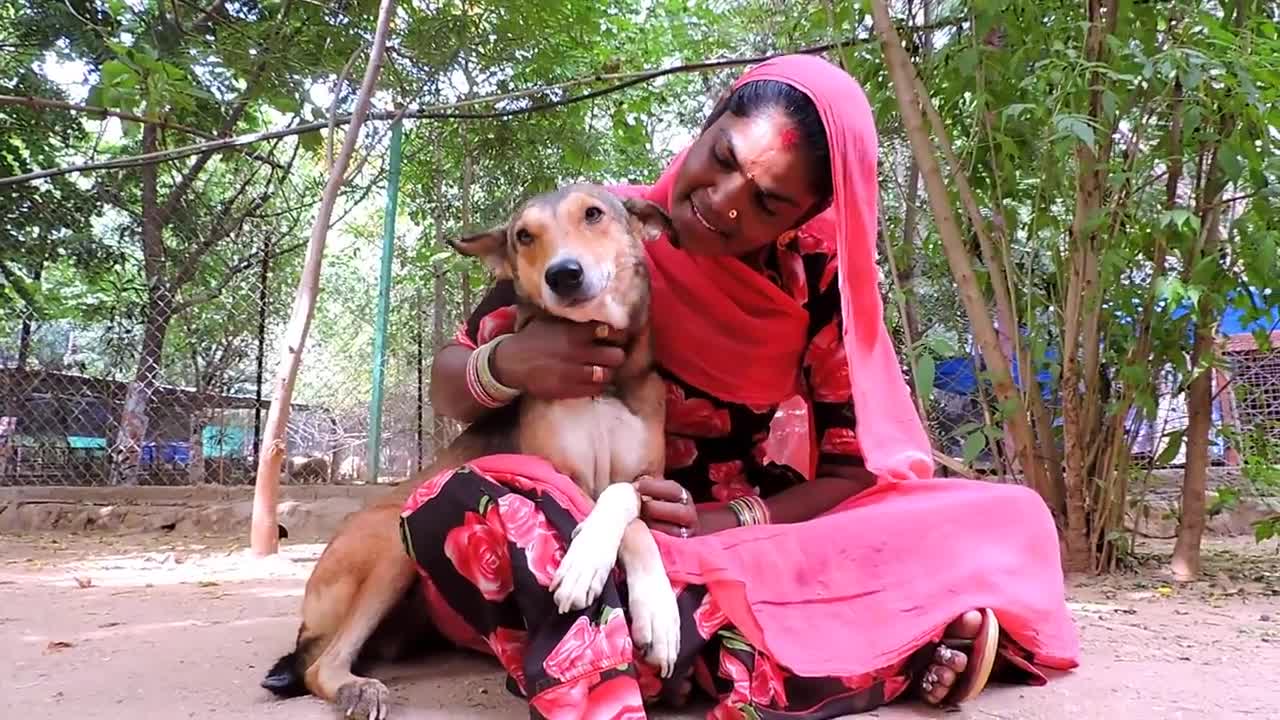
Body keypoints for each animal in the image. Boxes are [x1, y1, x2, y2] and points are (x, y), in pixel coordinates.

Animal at [259, 185, 680, 717]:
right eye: (524, 236)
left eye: (593, 213)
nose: (563, 274)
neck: (602, 379)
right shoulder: (552, 473)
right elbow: (615, 515)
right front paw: (592, 567)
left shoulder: (650, 480)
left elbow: (630, 506)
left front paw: (656, 609)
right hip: (389, 542)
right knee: (321, 665)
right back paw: (358, 688)